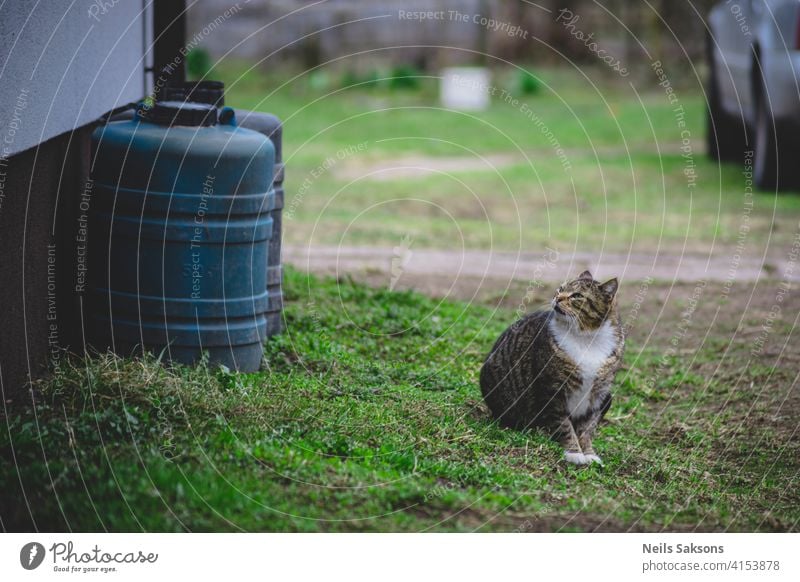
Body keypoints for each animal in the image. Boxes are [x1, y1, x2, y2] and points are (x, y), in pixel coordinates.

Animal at [478, 272, 620, 468]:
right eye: (560, 289)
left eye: (577, 295)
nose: (557, 298)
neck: (585, 338)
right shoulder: (552, 391)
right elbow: (564, 425)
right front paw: (574, 452)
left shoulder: (597, 397)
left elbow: (587, 429)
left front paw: (589, 453)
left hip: (608, 398)